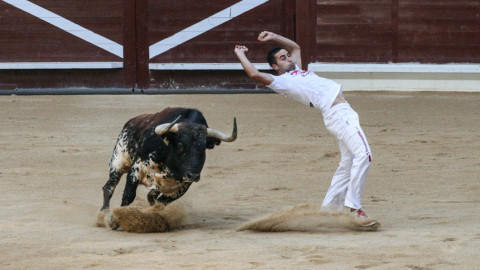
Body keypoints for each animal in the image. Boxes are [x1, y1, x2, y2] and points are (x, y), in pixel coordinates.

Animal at [101, 107, 236, 211]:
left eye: (203, 148)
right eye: (180, 145)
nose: (193, 175)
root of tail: (131, 122)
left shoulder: (184, 185)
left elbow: (162, 201)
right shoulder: (135, 169)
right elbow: (128, 196)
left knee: (151, 196)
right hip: (118, 162)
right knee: (109, 187)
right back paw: (104, 212)